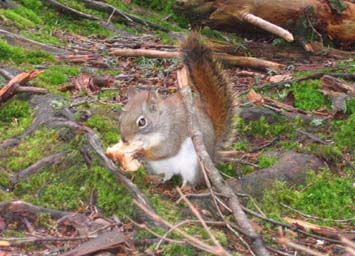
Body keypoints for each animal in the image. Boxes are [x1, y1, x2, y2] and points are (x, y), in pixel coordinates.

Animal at [119, 33, 234, 187]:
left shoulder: (173, 132)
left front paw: (141, 153)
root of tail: (212, 155)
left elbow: (166, 149)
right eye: (121, 117)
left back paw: (186, 188)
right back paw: (155, 179)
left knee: (191, 180)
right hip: (161, 166)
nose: (124, 139)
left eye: (142, 122)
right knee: (168, 175)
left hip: (194, 165)